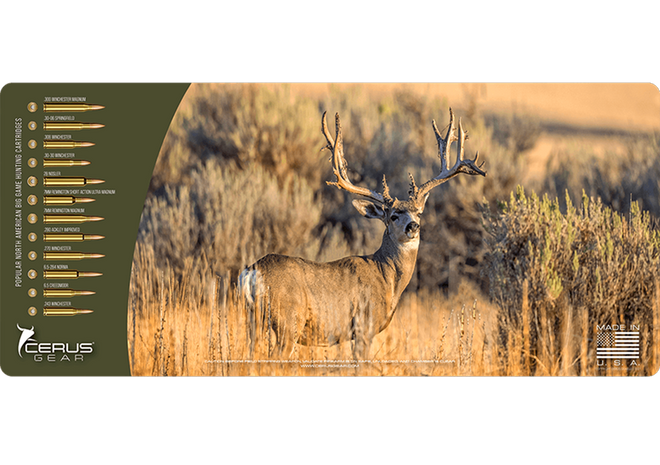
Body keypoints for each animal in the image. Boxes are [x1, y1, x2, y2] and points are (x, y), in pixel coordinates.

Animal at [239, 108, 486, 360]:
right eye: (393, 216)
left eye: (419, 213)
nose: (413, 227)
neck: (386, 278)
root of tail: (252, 272)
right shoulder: (364, 325)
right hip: (288, 321)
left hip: (253, 319)